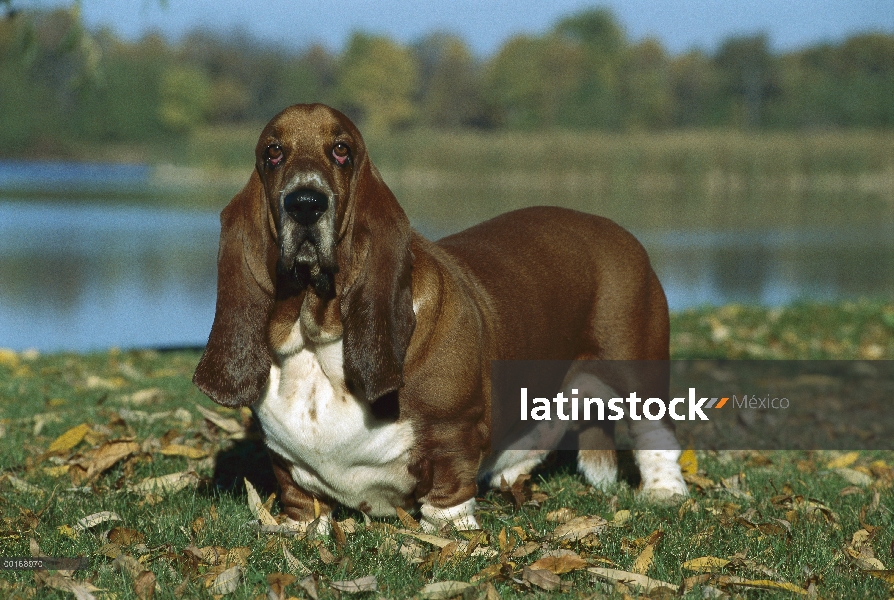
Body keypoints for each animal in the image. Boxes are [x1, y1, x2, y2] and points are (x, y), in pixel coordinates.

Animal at [194, 105, 688, 532]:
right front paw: (300, 532)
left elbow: (448, 492)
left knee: (655, 432)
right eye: (273, 152)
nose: (305, 203)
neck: (318, 341)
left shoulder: (455, 431)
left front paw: (452, 536)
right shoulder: (286, 459)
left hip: (635, 365)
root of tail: (618, 231)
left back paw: (665, 492)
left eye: (342, 150)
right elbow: (299, 498)